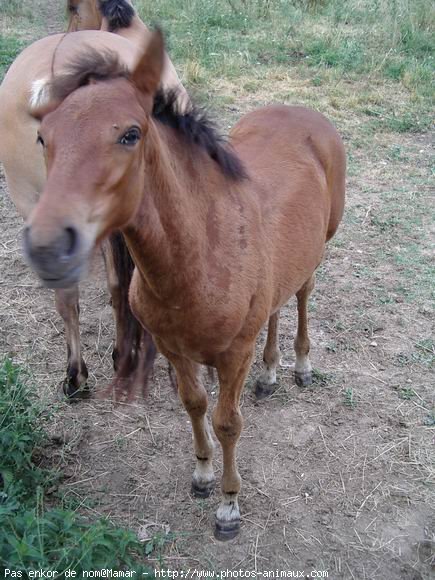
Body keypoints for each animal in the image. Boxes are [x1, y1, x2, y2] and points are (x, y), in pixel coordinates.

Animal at [25, 31, 348, 540]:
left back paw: (299, 365)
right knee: (276, 303)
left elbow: (228, 422)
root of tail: (302, 110)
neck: (200, 257)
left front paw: (229, 506)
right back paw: (270, 373)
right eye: (44, 136)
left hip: (323, 243)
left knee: (301, 294)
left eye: (129, 134)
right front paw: (201, 475)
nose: (48, 246)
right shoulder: (172, 348)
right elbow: (194, 405)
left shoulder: (234, 354)